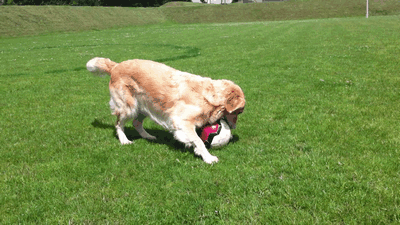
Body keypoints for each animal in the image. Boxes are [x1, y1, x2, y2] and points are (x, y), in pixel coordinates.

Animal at [86, 58, 245, 163]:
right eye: (238, 112)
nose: (233, 128)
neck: (207, 96)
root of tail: (116, 66)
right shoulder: (181, 120)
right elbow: (198, 140)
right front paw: (208, 157)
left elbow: (194, 139)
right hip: (129, 107)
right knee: (119, 124)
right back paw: (124, 140)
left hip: (144, 107)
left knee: (136, 123)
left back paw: (148, 136)